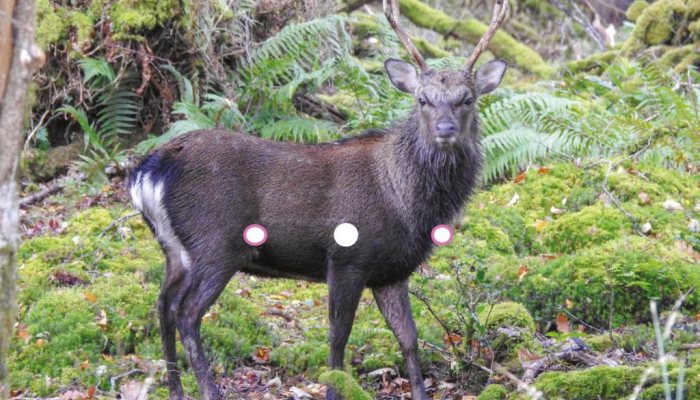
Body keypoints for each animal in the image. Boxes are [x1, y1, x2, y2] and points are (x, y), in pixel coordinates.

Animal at [128, 0, 508, 398]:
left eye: (467, 99)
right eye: (422, 100)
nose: (445, 129)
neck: (402, 200)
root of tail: (149, 171)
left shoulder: (392, 271)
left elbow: (409, 337)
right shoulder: (345, 258)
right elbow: (338, 337)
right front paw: (332, 389)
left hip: (174, 249)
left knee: (163, 305)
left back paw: (175, 389)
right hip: (216, 243)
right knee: (187, 313)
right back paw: (210, 389)